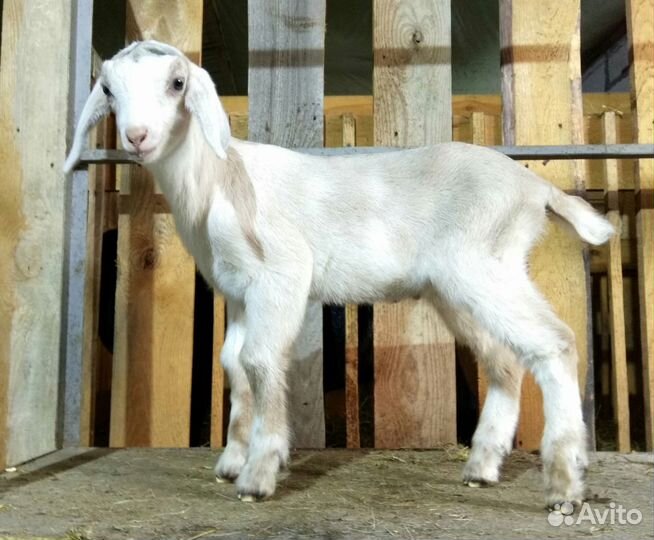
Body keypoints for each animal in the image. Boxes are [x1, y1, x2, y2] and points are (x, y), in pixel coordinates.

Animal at [64, 40, 615, 507]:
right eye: (108, 89)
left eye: (178, 83)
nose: (137, 137)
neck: (220, 178)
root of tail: (535, 188)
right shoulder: (239, 293)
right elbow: (233, 365)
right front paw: (233, 458)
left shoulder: (281, 275)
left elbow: (260, 362)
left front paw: (259, 472)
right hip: (458, 288)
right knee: (503, 360)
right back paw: (481, 466)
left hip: (486, 267)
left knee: (556, 343)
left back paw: (564, 482)